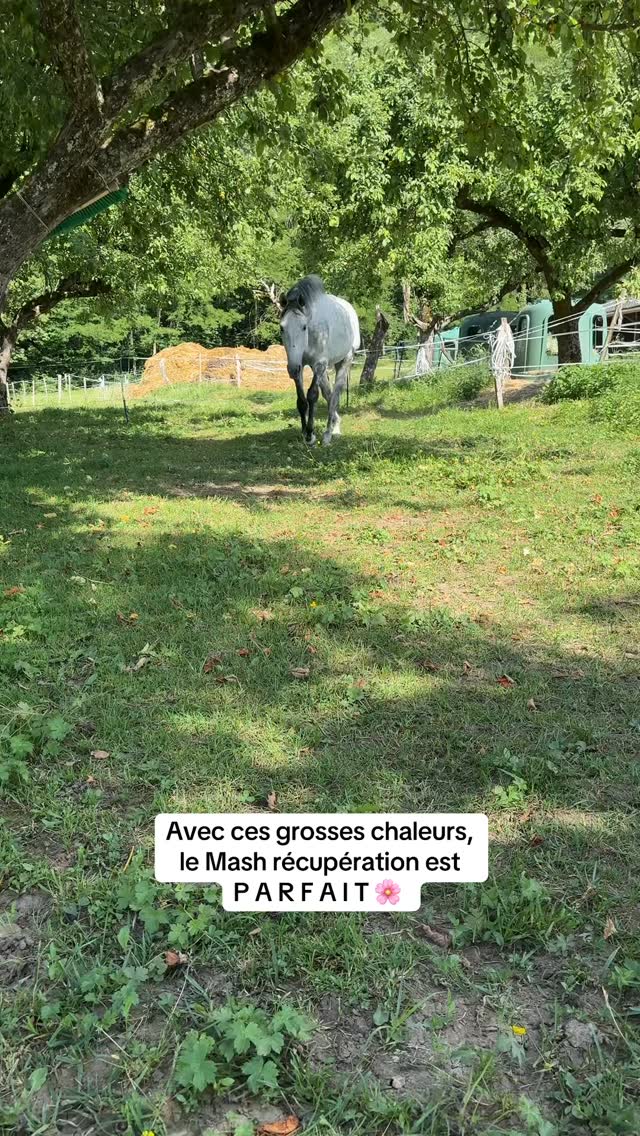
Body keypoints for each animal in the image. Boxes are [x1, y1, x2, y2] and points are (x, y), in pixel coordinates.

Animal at [279, 275, 360, 445]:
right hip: (324, 369)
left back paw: (329, 433)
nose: (291, 369)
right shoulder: (300, 366)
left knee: (335, 395)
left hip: (344, 361)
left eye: (304, 327)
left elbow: (312, 395)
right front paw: (305, 433)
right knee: (328, 394)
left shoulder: (318, 364)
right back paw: (335, 426)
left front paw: (310, 434)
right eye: (282, 327)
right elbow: (302, 401)